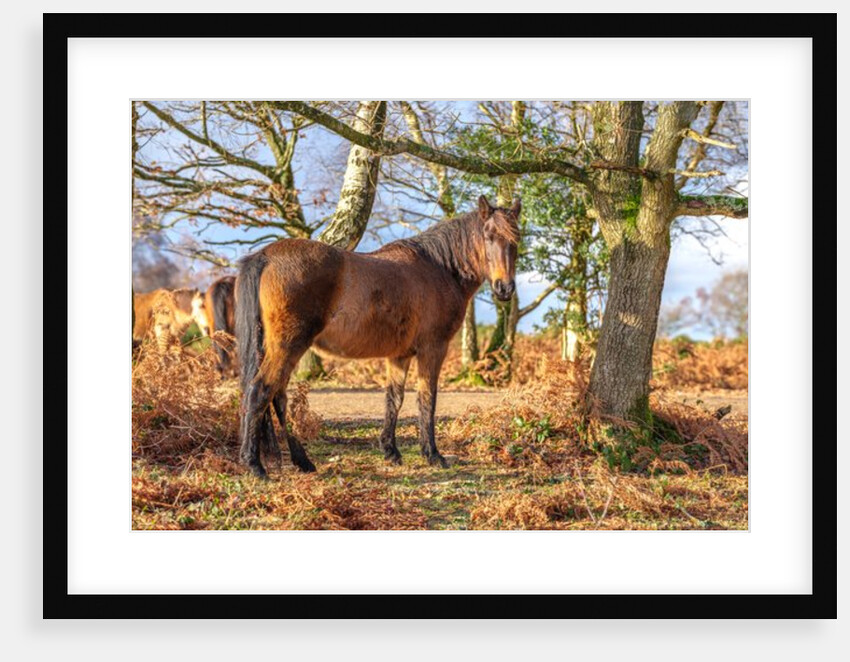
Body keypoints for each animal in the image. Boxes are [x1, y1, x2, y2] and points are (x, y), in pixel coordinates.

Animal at [236, 195, 521, 478]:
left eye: (516, 238)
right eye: (488, 236)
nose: (505, 288)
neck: (439, 269)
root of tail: (265, 257)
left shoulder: (399, 355)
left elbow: (394, 399)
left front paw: (391, 451)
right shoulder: (433, 349)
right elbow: (427, 398)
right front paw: (432, 454)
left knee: (277, 396)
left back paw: (301, 460)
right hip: (289, 346)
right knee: (261, 391)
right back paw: (254, 464)